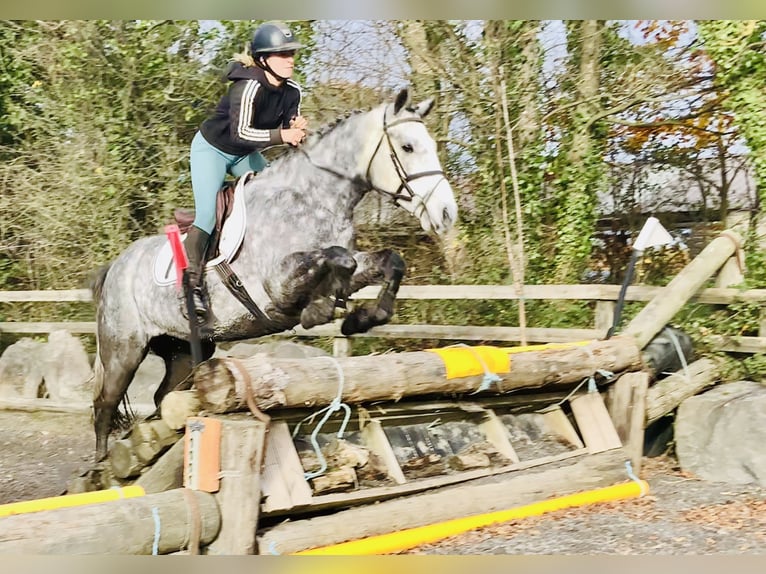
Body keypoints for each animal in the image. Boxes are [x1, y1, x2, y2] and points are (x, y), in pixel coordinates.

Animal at [90, 87, 458, 460]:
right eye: (408, 147)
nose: (446, 213)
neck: (314, 198)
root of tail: (116, 266)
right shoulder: (276, 285)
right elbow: (337, 258)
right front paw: (319, 310)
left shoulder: (351, 265)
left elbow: (385, 262)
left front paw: (360, 318)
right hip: (124, 349)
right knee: (105, 404)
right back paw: (100, 466)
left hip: (182, 349)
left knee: (163, 396)